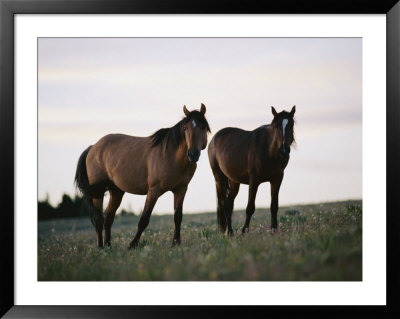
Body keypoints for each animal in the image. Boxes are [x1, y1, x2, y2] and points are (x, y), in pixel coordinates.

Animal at [74, 104, 209, 249]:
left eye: (203, 127)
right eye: (185, 128)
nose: (193, 154)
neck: (172, 156)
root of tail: (93, 147)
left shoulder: (181, 189)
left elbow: (177, 217)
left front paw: (176, 243)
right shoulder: (154, 191)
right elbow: (144, 219)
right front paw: (132, 245)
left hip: (116, 191)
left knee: (108, 217)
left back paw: (109, 247)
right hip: (98, 193)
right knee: (98, 218)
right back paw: (100, 247)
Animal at [208, 106, 296, 236]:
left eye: (291, 124)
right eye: (276, 126)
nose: (284, 150)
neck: (269, 151)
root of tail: (214, 139)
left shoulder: (277, 179)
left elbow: (274, 205)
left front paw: (274, 229)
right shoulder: (254, 180)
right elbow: (250, 207)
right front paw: (244, 230)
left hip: (234, 181)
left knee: (230, 202)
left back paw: (229, 230)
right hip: (219, 177)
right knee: (224, 203)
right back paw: (230, 231)